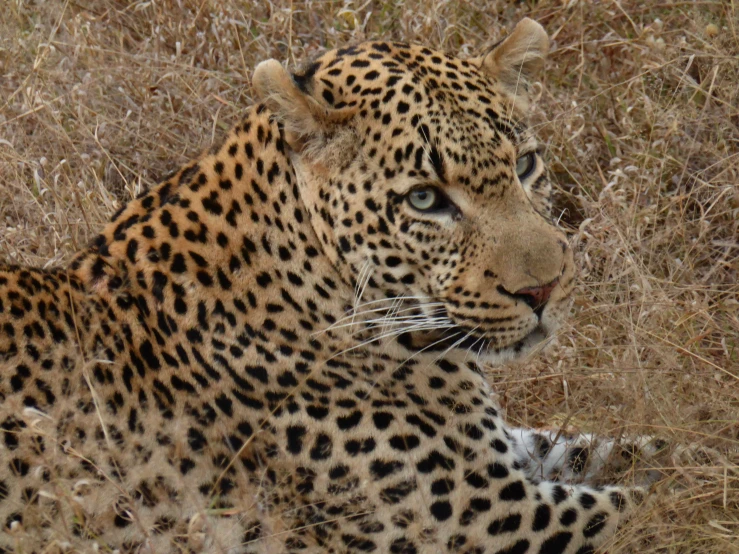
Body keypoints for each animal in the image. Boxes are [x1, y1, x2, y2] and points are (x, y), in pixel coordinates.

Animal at [0, 18, 684, 552]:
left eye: (524, 165)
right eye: (425, 199)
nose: (545, 290)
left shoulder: (498, 454)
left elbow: (642, 451)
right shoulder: (484, 515)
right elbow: (657, 501)